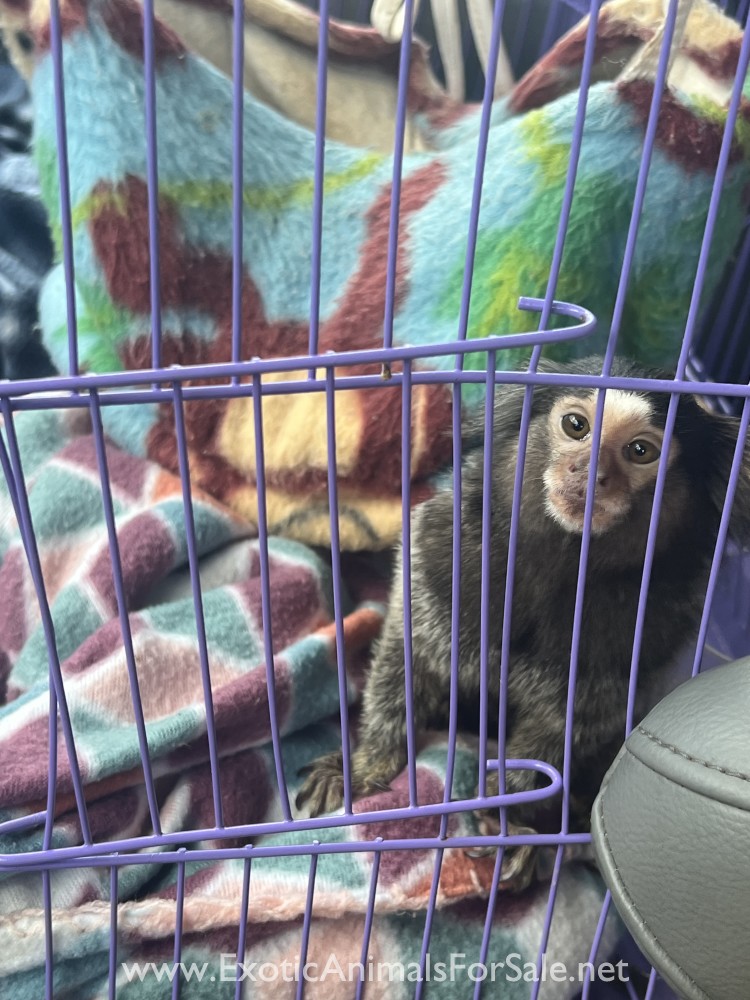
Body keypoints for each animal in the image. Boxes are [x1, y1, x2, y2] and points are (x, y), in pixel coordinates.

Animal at [296, 356, 750, 889]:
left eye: (641, 451)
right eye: (575, 426)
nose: (590, 472)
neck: (562, 563)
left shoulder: (648, 629)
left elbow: (566, 725)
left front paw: (507, 814)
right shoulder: (438, 558)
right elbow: (407, 662)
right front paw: (364, 766)